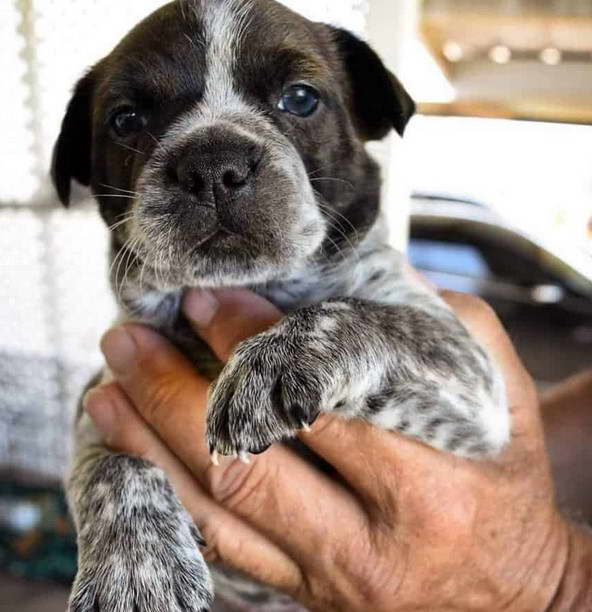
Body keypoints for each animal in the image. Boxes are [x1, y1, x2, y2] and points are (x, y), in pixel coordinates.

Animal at [53, 0, 512, 608]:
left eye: (300, 99)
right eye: (126, 120)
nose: (212, 164)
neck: (254, 285)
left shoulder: (475, 382)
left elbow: (364, 317)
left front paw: (275, 361)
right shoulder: (99, 404)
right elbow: (113, 465)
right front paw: (134, 568)